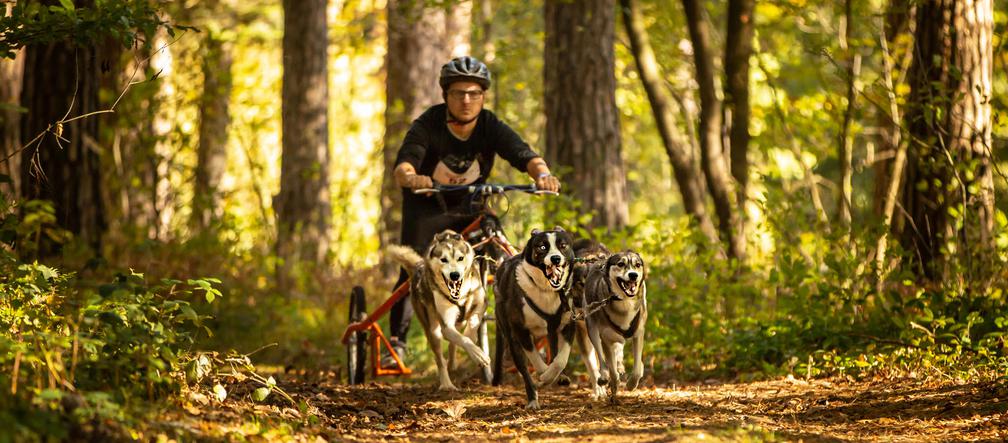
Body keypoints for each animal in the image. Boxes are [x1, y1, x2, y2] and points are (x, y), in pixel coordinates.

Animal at [489, 227, 572, 411]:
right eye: (542, 247)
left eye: (563, 246)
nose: (556, 258)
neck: (545, 289)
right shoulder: (520, 330)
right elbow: (535, 358)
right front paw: (544, 375)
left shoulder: (568, 324)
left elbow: (561, 359)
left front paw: (553, 374)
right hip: (511, 337)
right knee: (524, 369)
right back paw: (533, 399)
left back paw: (559, 376)